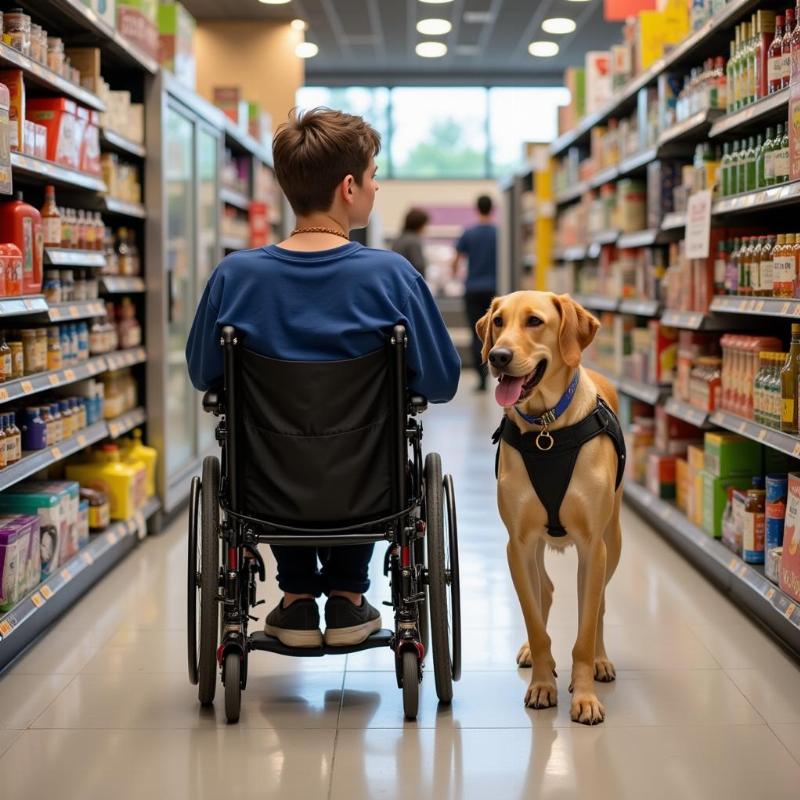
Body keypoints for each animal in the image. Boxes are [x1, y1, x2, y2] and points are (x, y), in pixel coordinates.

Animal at [476, 292, 624, 724]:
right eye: (498, 322)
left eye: (534, 322)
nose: (498, 356)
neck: (547, 428)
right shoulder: (518, 544)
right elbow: (534, 618)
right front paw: (542, 684)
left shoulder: (593, 546)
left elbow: (586, 629)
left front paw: (585, 695)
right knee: (544, 590)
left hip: (612, 542)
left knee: (598, 604)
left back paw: (600, 662)